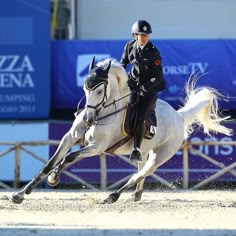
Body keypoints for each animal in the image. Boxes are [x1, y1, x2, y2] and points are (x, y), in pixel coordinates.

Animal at [11, 58, 232, 204]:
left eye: (100, 90)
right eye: (85, 88)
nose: (88, 119)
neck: (102, 111)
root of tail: (179, 116)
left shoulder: (97, 147)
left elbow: (69, 158)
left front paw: (54, 178)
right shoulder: (69, 138)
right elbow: (50, 163)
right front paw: (20, 194)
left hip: (161, 155)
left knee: (143, 172)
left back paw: (113, 196)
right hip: (143, 151)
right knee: (140, 171)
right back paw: (136, 194)